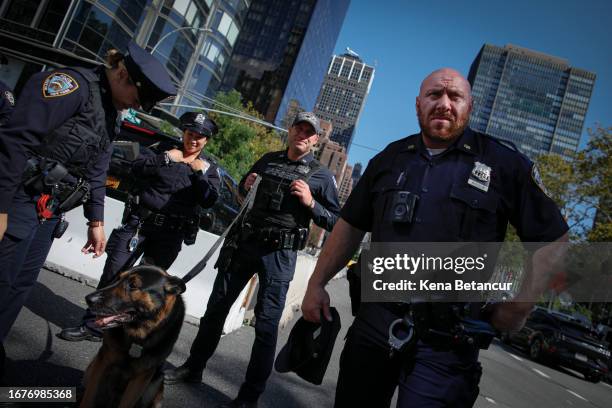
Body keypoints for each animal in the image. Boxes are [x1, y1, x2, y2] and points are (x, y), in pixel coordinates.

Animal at [81, 264, 186, 408]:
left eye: (133, 285)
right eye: (118, 278)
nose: (88, 298)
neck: (138, 335)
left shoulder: (142, 376)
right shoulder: (104, 360)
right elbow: (88, 397)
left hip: (157, 382)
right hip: (90, 371)